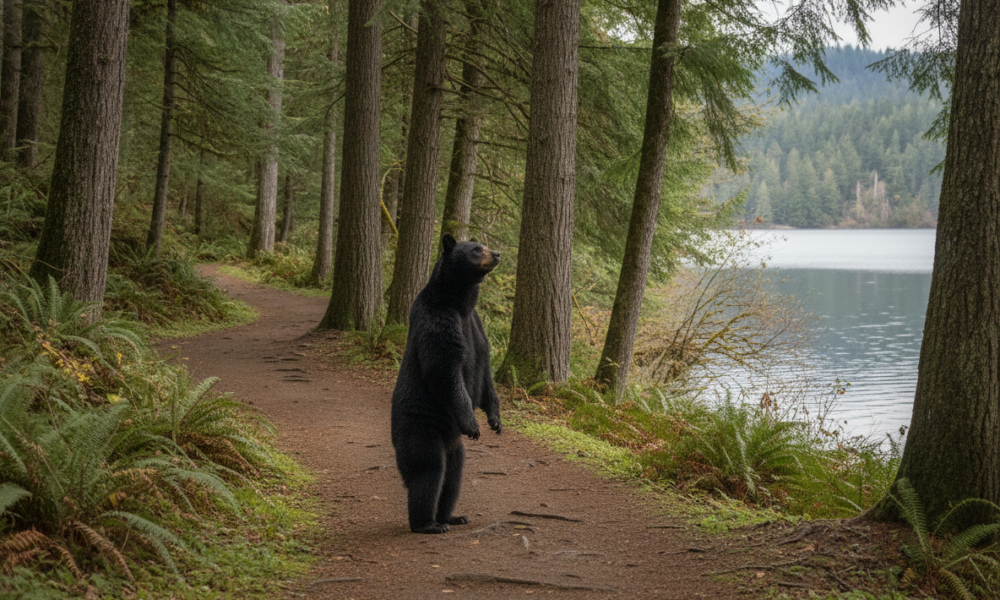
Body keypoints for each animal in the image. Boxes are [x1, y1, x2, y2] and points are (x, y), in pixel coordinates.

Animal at [390, 233, 502, 534]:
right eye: (476, 249)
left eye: (485, 245)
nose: (497, 254)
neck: (458, 301)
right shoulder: (439, 321)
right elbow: (445, 370)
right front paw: (472, 423)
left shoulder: (475, 325)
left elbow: (485, 372)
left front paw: (495, 420)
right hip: (421, 428)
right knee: (429, 470)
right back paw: (427, 523)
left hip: (454, 446)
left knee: (454, 475)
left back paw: (451, 516)